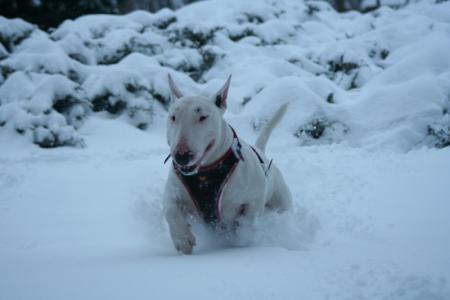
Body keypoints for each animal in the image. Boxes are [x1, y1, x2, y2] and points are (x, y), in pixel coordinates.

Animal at [163, 74, 292, 253]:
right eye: (173, 117)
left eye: (203, 117)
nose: (182, 156)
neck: (205, 174)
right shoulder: (173, 191)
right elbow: (170, 209)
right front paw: (183, 239)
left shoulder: (253, 200)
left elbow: (248, 223)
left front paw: (240, 241)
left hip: (281, 201)